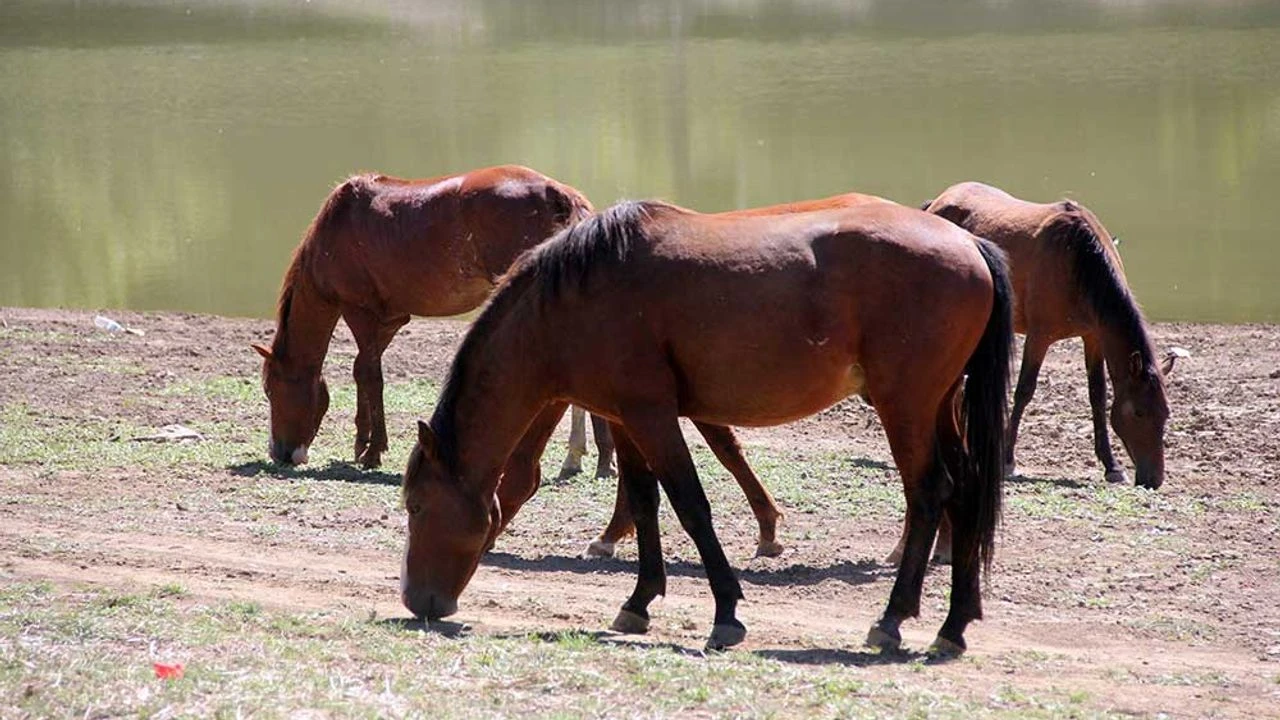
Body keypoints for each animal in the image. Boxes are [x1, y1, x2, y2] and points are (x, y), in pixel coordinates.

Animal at [254, 167, 609, 468]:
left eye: (271, 389)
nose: (280, 453)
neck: (335, 228)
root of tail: (559, 194)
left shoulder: (358, 310)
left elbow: (371, 374)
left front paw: (373, 451)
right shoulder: (391, 319)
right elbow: (361, 371)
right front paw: (362, 442)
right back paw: (595, 458)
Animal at [399, 198, 1008, 653]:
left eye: (417, 505)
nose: (415, 601)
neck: (576, 296)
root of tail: (969, 244)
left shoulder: (653, 415)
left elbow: (690, 505)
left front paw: (726, 613)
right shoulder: (626, 418)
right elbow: (645, 503)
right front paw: (638, 601)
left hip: (905, 407)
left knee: (929, 493)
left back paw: (892, 619)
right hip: (938, 407)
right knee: (965, 492)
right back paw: (953, 625)